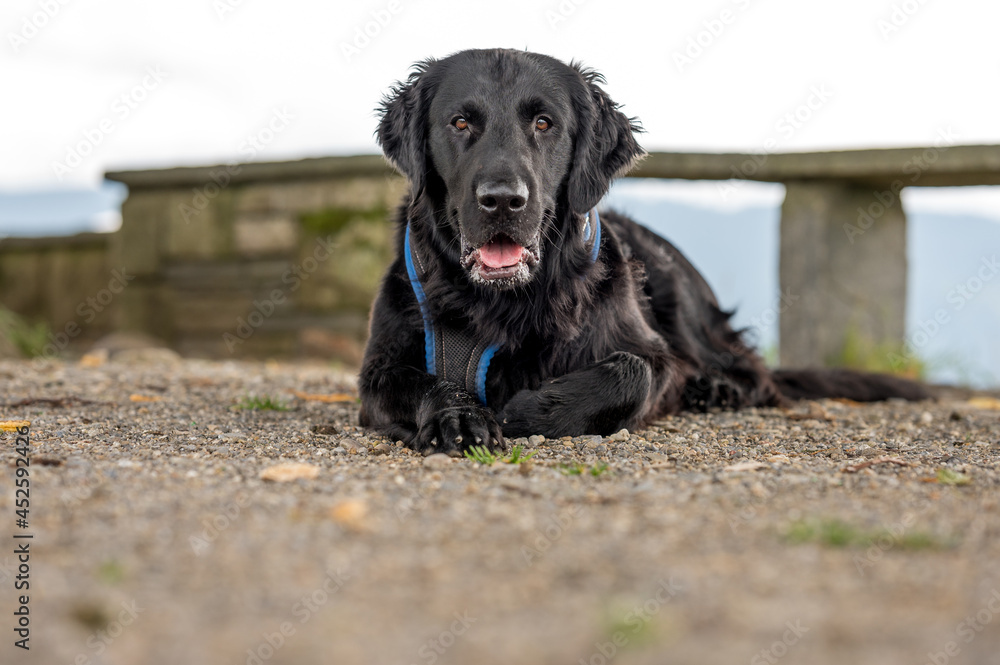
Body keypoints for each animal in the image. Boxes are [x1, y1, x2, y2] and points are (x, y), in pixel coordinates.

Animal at [358, 49, 928, 454]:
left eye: (544, 123)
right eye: (460, 123)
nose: (503, 200)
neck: (507, 299)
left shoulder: (651, 351)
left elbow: (631, 371)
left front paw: (528, 411)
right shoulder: (379, 368)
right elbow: (420, 384)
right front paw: (458, 415)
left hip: (674, 285)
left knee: (751, 371)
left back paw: (716, 389)